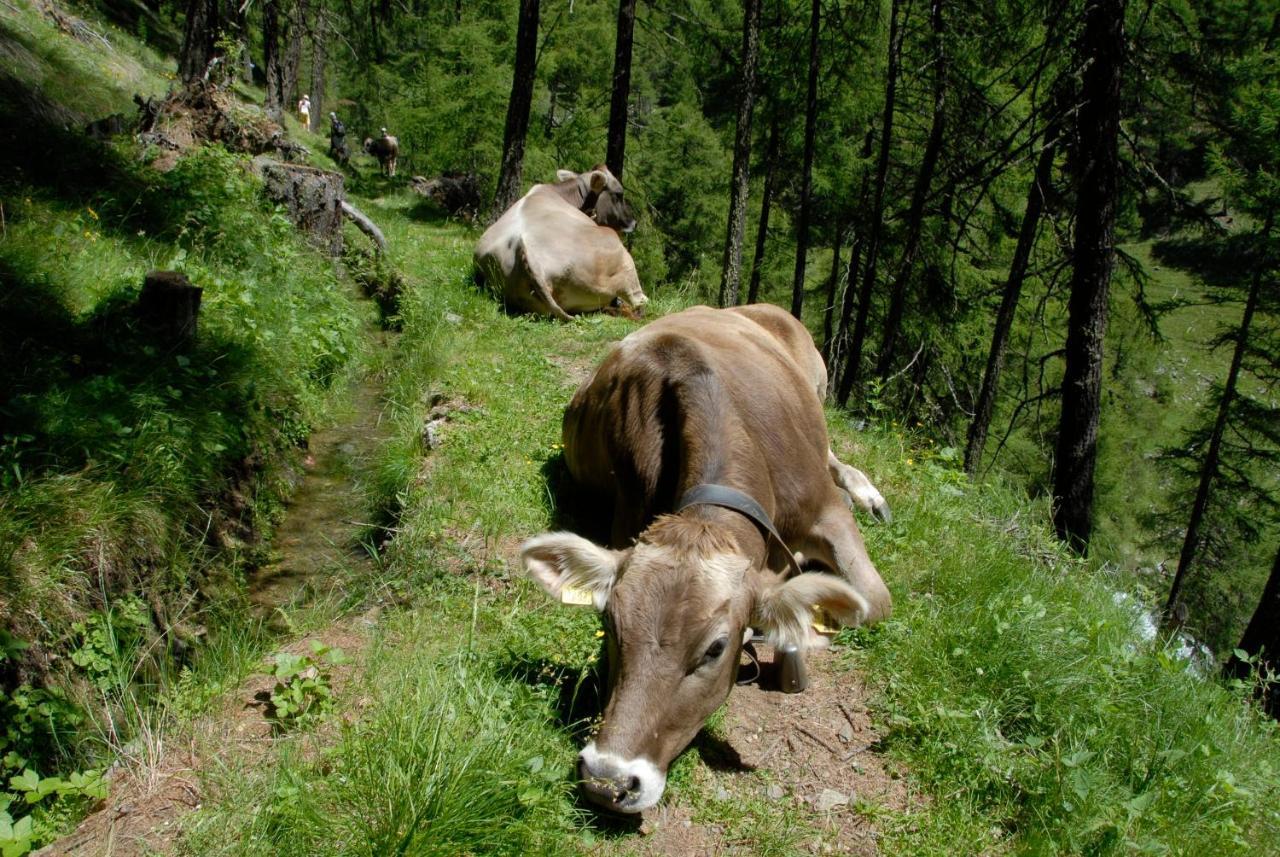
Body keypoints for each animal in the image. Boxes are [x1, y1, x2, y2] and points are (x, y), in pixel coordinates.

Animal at [519, 305, 890, 813]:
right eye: (610, 624)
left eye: (715, 648)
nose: (607, 780)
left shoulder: (826, 511)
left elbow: (870, 603)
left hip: (817, 383)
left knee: (833, 451)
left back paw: (868, 495)